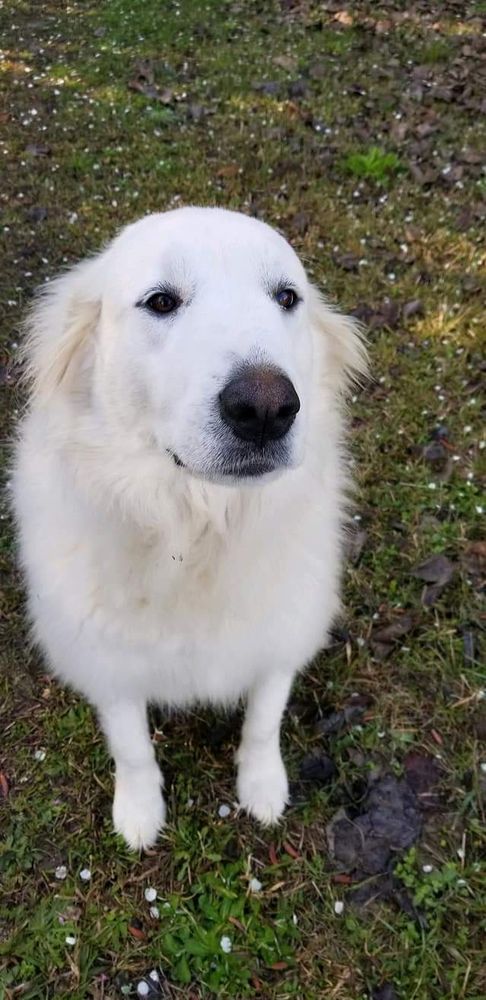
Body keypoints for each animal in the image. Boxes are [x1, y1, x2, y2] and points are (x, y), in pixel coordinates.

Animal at [12, 207, 366, 850]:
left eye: (286, 296)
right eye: (161, 301)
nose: (266, 408)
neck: (196, 532)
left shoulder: (281, 637)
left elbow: (263, 721)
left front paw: (261, 786)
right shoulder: (107, 661)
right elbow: (131, 747)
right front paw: (139, 810)